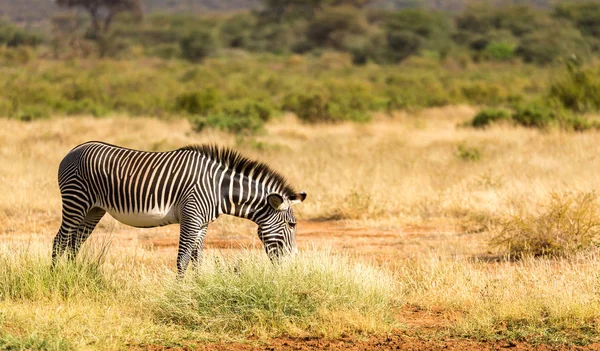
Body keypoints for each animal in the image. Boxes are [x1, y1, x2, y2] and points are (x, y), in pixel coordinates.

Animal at [53, 142, 308, 276]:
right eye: (292, 224)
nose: (294, 263)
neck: (220, 189)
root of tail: (73, 150)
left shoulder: (203, 223)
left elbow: (197, 257)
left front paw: (199, 286)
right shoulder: (191, 216)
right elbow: (182, 258)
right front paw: (180, 291)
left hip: (93, 210)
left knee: (74, 243)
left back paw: (73, 276)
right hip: (76, 201)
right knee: (59, 241)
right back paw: (56, 277)